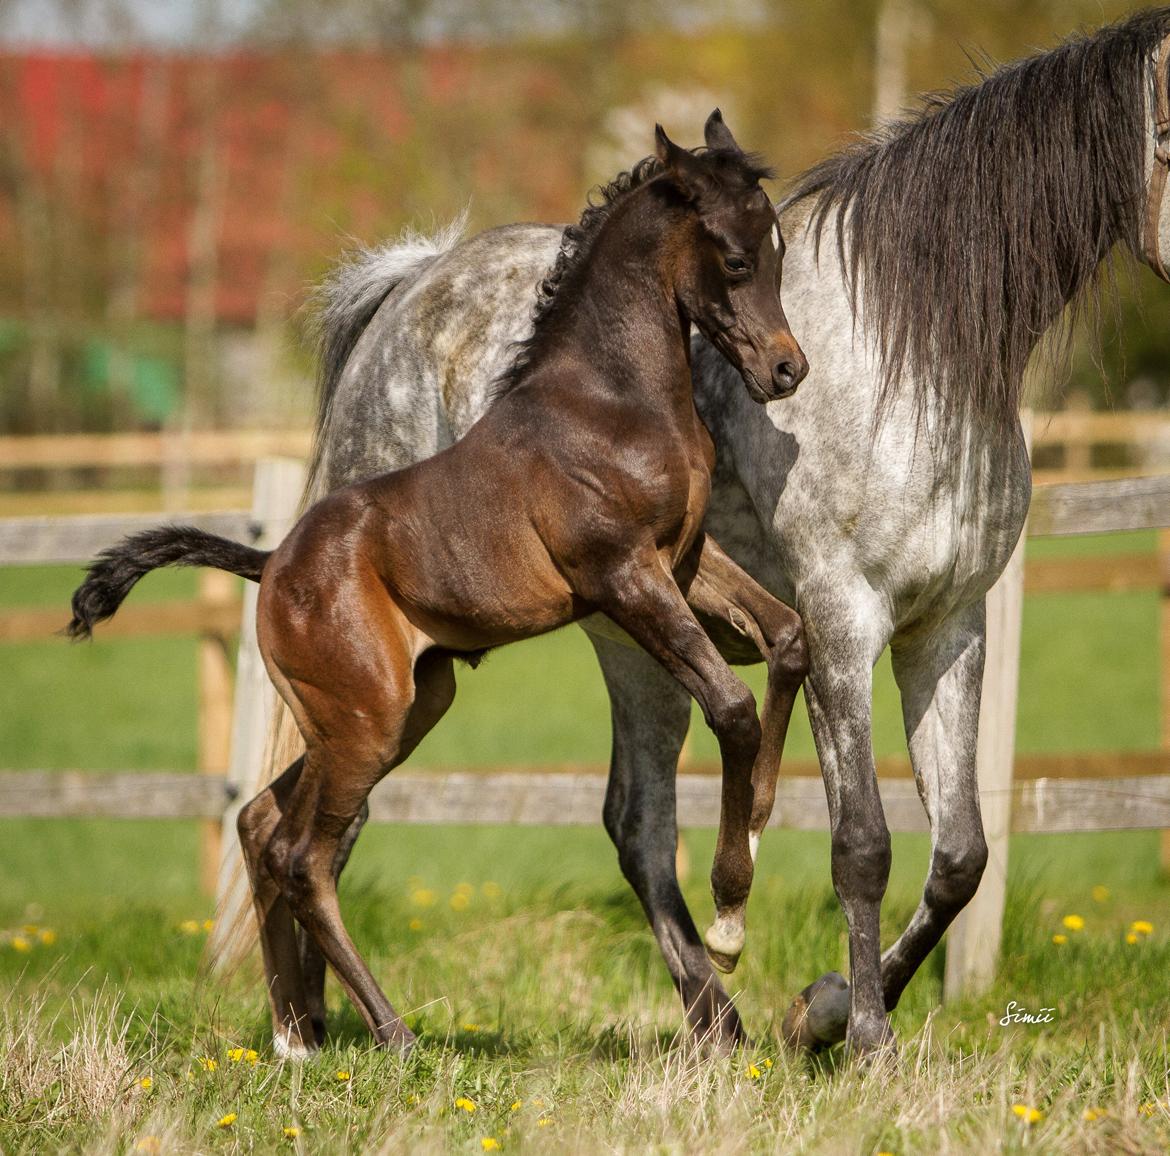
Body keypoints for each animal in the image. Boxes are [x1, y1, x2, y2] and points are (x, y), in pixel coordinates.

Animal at [70, 119, 804, 1057]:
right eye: (736, 259)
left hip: (405, 704)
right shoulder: (623, 574)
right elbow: (730, 706)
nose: (787, 371)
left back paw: (297, 1037)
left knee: (264, 823)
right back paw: (390, 1034)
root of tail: (271, 565)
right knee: (303, 855)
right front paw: (728, 917)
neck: (608, 400)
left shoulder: (684, 559)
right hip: (367, 721)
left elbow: (787, 638)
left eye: (778, 249)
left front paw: (754, 840)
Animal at [269, 11, 1170, 1057]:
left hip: (600, 647)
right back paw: (316, 1033)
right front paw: (862, 1035)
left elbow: (959, 858)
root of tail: (409, 288)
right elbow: (862, 843)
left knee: (608, 827)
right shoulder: (843, 619)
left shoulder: (948, 627)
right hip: (448, 666)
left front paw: (824, 1008)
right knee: (331, 827)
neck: (910, 363)